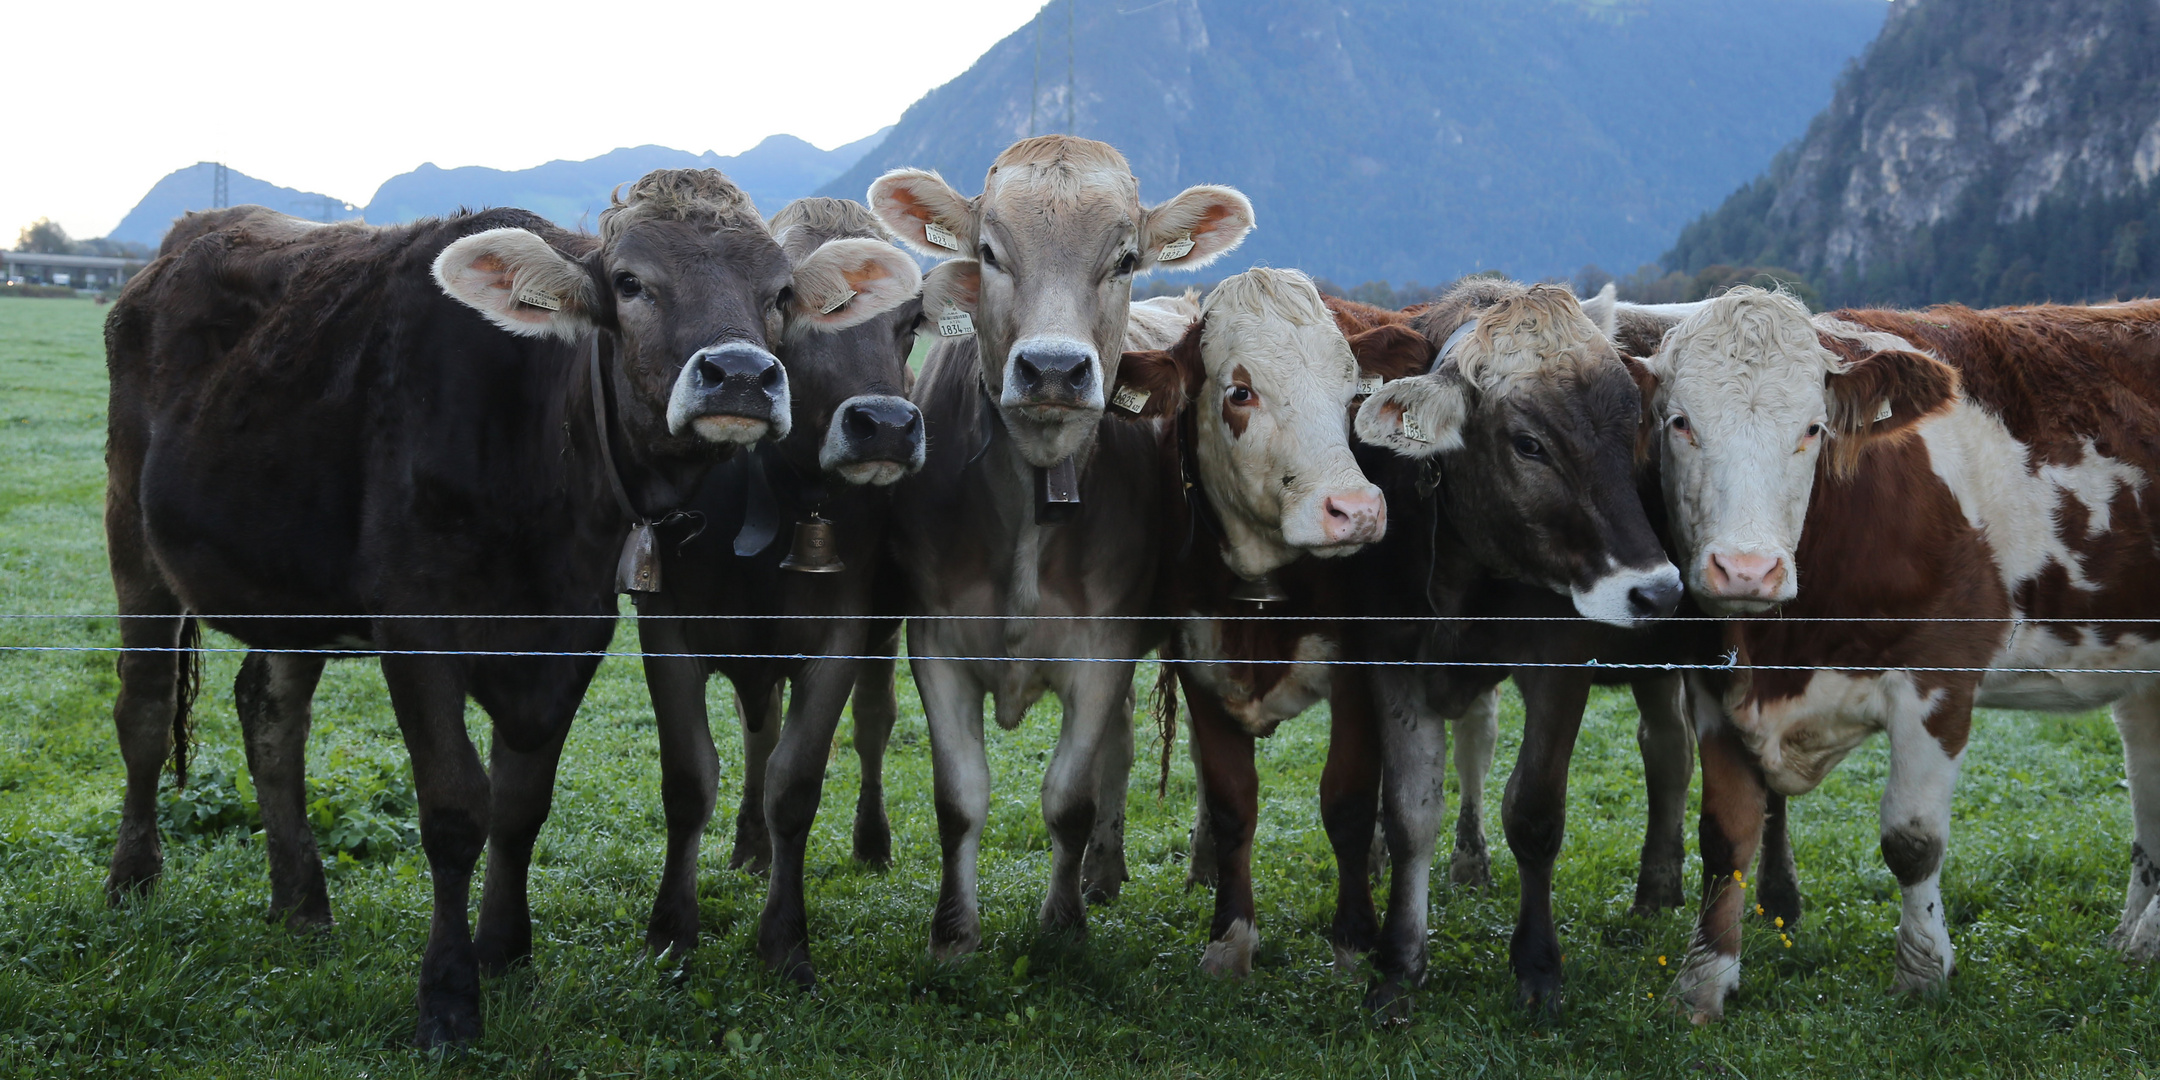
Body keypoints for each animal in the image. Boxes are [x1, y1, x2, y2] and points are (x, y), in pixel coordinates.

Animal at [101, 170, 915, 1045]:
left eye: (779, 293)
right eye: (629, 281)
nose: (739, 375)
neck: (539, 458)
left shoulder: (568, 638)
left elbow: (521, 805)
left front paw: (505, 949)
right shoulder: (417, 634)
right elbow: (457, 808)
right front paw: (449, 994)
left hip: (292, 591)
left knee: (270, 716)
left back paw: (301, 902)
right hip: (132, 538)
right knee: (143, 706)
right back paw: (132, 878)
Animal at [868, 135, 1261, 963]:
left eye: (1125, 258)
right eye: (989, 252)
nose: (1053, 368)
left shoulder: (1101, 645)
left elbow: (1068, 797)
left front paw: (1062, 926)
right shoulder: (937, 642)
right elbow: (960, 798)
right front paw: (953, 933)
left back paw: (1201, 867)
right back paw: (1105, 873)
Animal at [1624, 285, 2160, 1019]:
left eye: (1812, 430)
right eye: (1679, 422)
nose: (1745, 570)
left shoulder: (1939, 674)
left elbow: (1912, 840)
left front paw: (1921, 976)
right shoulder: (1712, 683)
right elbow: (1726, 836)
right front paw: (1701, 984)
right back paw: (2135, 941)